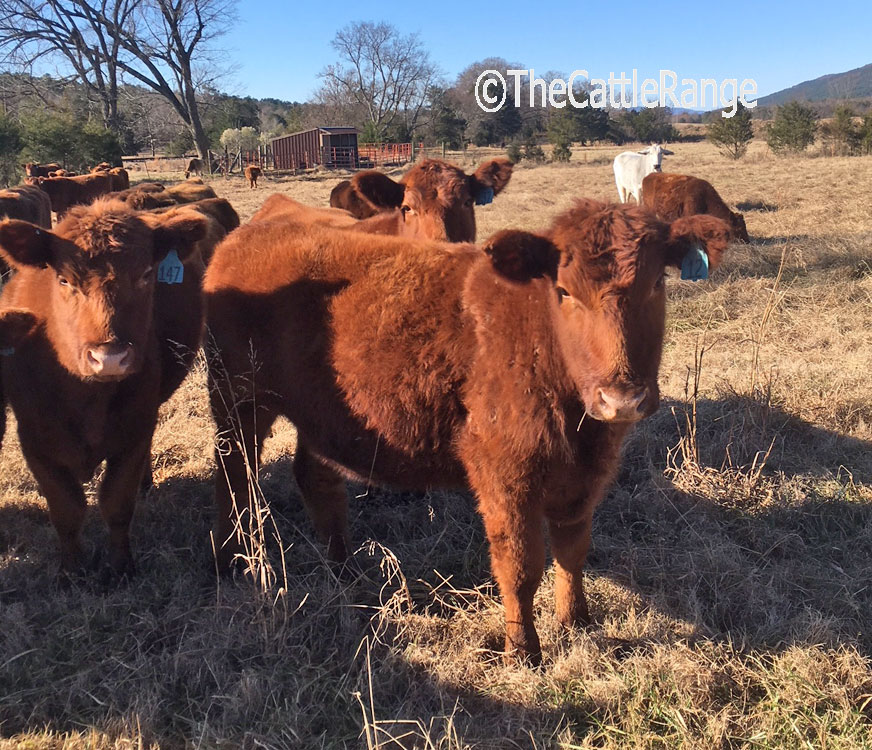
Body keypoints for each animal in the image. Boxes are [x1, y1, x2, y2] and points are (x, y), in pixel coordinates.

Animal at [0, 201, 210, 577]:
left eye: (146, 274)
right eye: (64, 279)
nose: (109, 358)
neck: (87, 400)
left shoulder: (135, 430)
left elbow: (117, 502)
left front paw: (121, 566)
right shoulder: (34, 439)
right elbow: (66, 509)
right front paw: (71, 570)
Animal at [204, 199, 731, 663]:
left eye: (657, 283)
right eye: (564, 291)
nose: (621, 399)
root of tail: (245, 236)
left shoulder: (584, 478)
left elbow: (573, 551)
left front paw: (576, 622)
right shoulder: (504, 476)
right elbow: (520, 567)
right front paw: (524, 651)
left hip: (318, 416)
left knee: (316, 480)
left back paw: (344, 569)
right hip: (236, 400)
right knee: (233, 476)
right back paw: (233, 559)